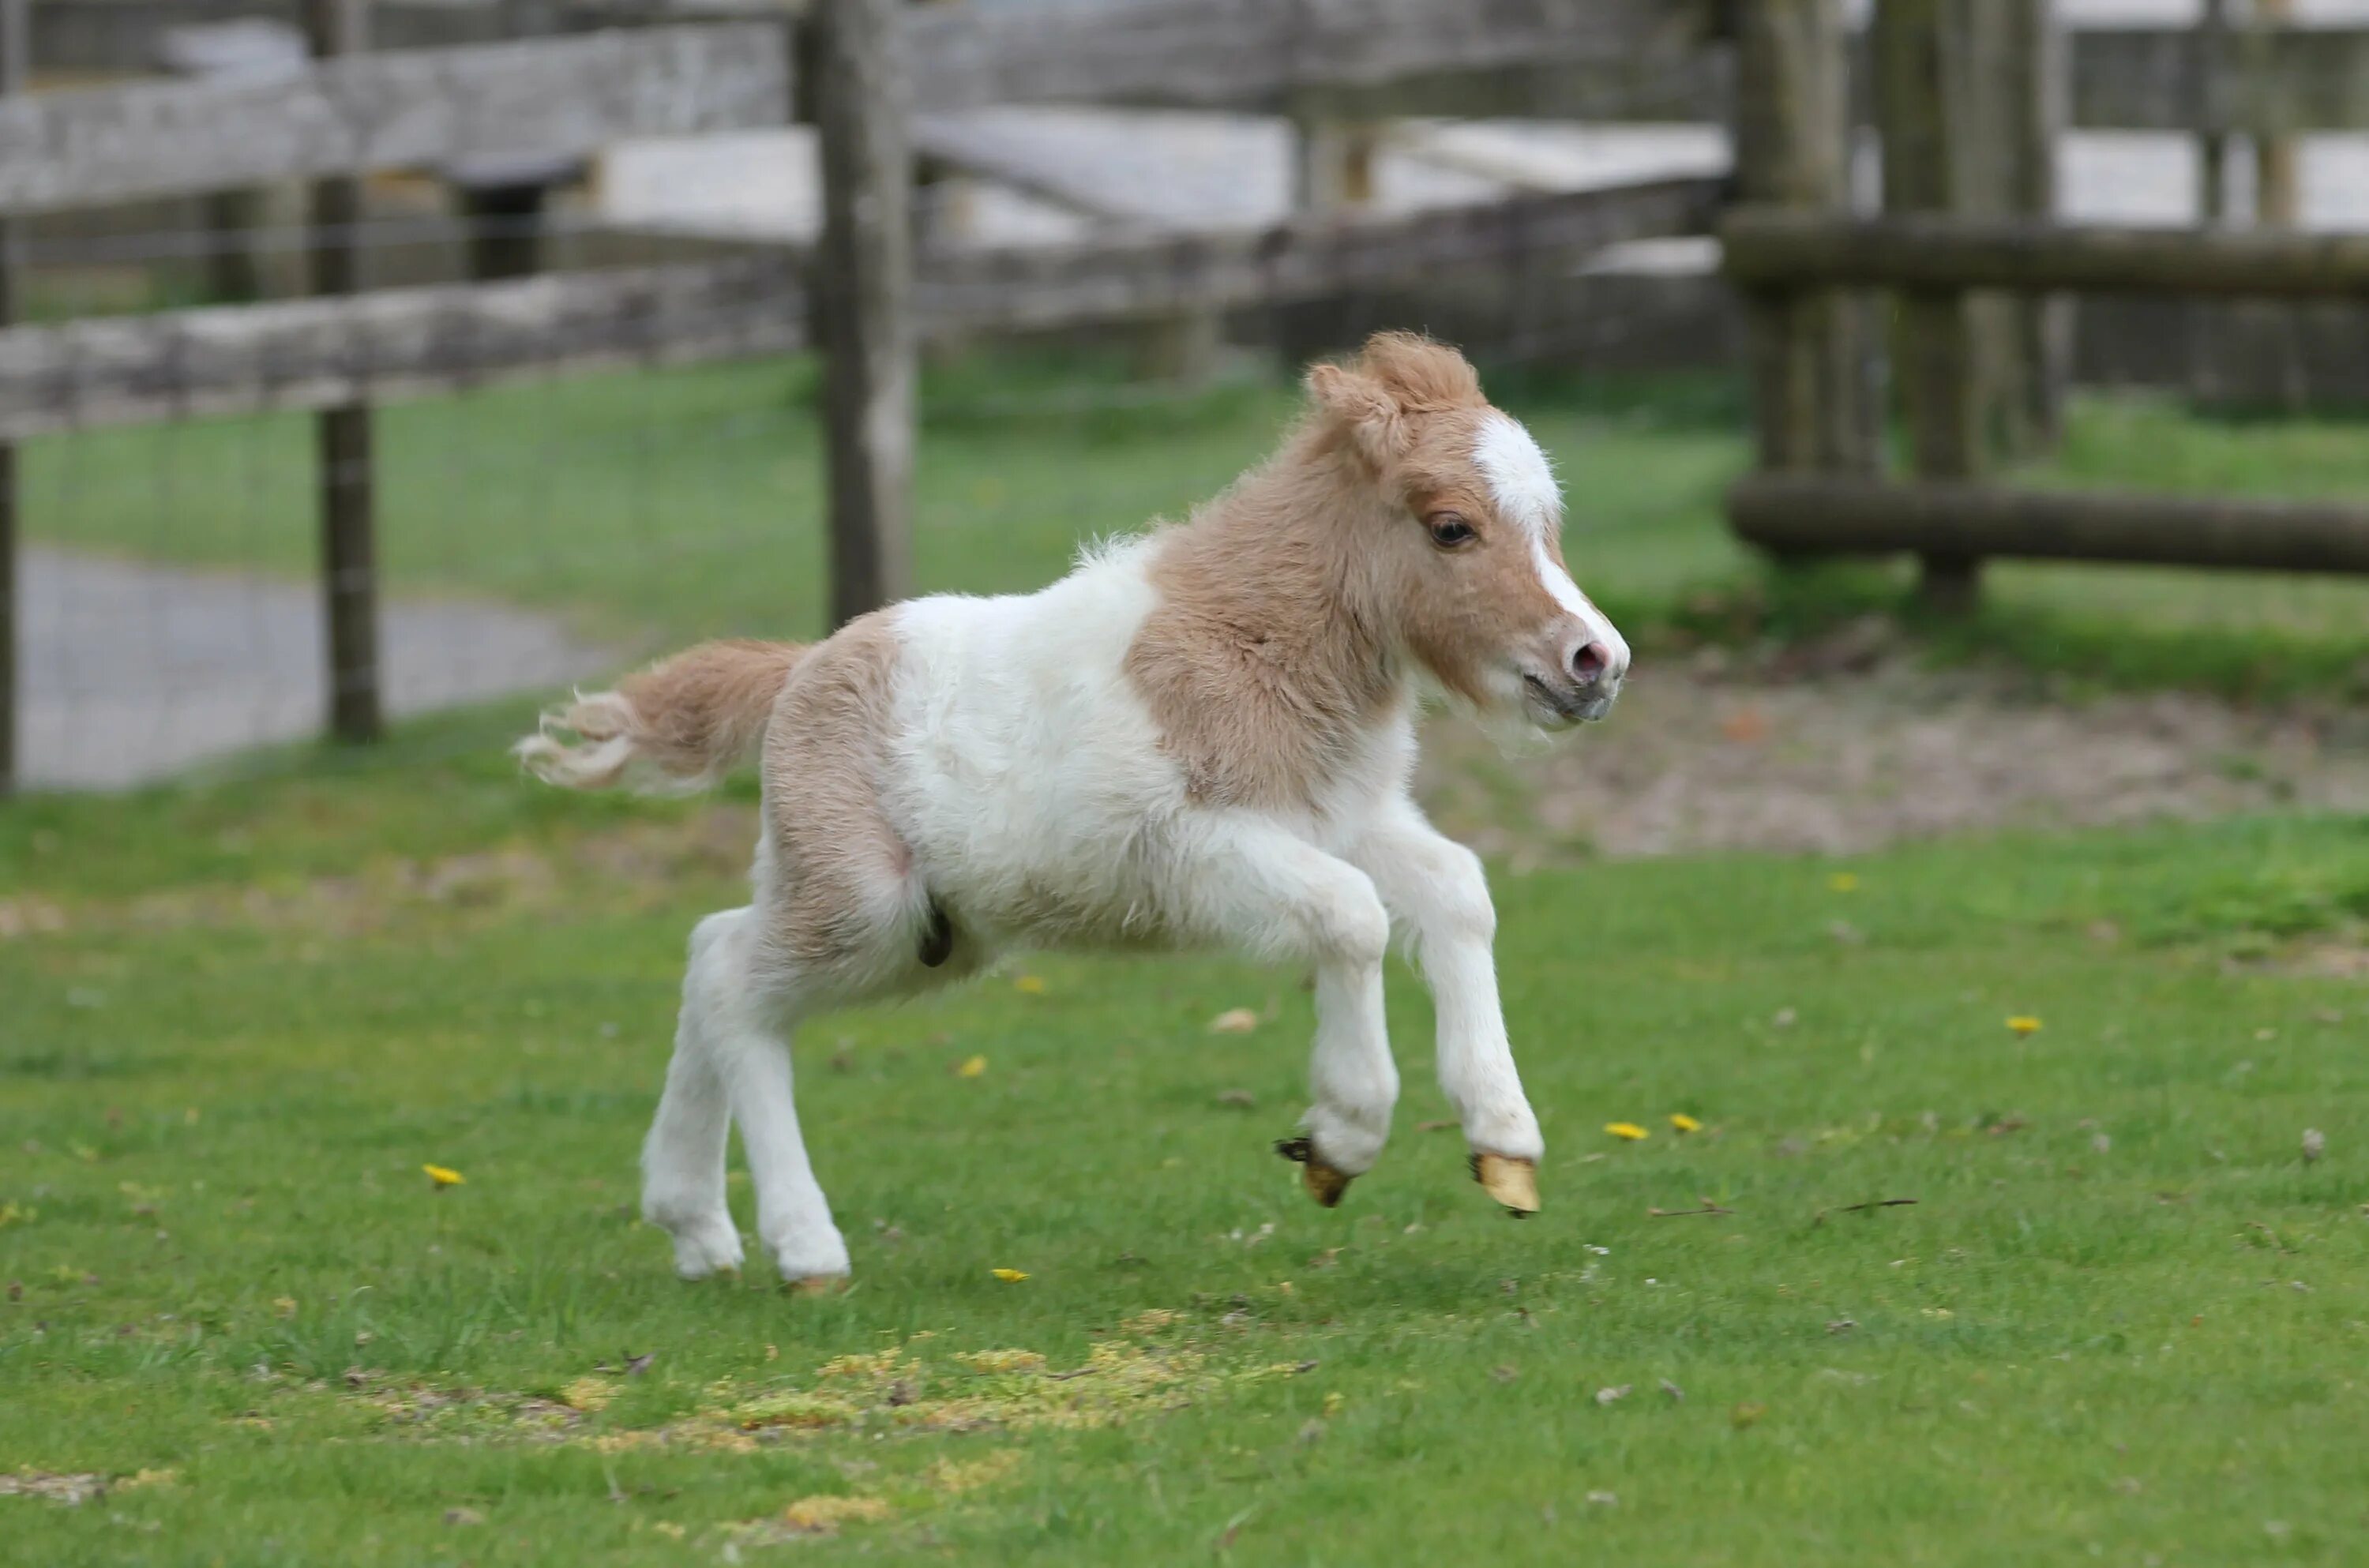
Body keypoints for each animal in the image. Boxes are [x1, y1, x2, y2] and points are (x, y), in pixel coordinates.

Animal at [519, 332, 1630, 1289]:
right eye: (1451, 527)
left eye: (1551, 523)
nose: (1597, 662)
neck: (1248, 640)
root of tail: (800, 668)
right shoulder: (1191, 849)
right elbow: (1351, 917)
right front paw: (1339, 1141)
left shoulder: (1344, 821)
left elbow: (1456, 892)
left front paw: (1504, 1141)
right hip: (865, 905)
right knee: (738, 993)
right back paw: (803, 1248)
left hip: (933, 935)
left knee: (713, 948)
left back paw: (695, 1227)